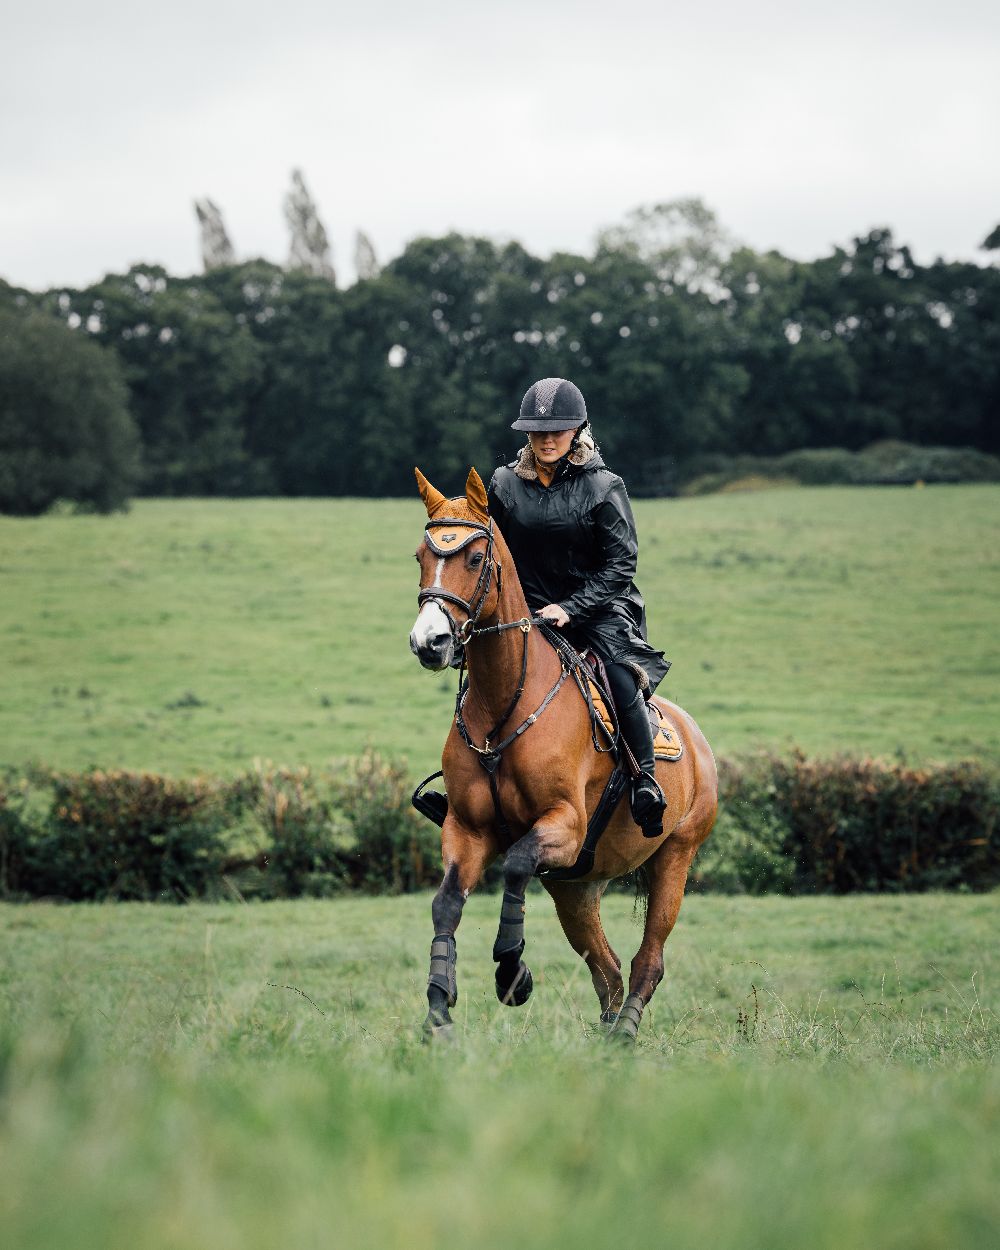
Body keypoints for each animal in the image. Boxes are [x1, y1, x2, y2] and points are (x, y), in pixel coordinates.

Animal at [407, 465, 720, 1040]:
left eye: (475, 558)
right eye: (420, 556)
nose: (429, 642)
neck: (505, 704)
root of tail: (695, 736)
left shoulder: (565, 826)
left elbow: (514, 864)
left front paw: (513, 975)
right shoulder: (467, 829)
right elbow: (446, 903)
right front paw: (439, 1008)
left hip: (674, 857)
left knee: (647, 960)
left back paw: (624, 1032)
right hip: (575, 887)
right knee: (607, 968)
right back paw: (607, 1034)